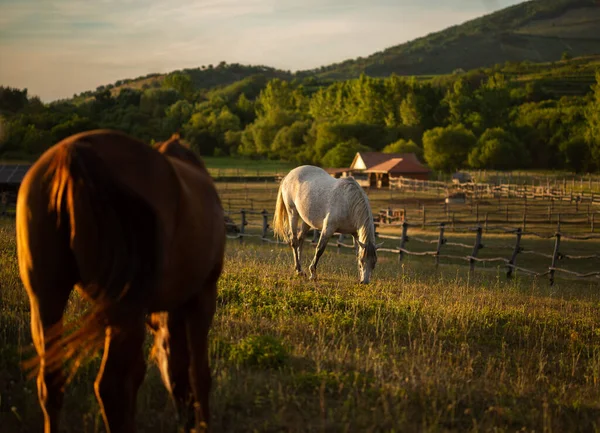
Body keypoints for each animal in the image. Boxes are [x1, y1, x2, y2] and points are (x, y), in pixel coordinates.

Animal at [15, 129, 225, 432]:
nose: (185, 421)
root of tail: (73, 153)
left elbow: (150, 373)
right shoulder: (203, 296)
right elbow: (198, 373)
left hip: (46, 300)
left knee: (51, 384)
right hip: (125, 310)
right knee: (109, 388)